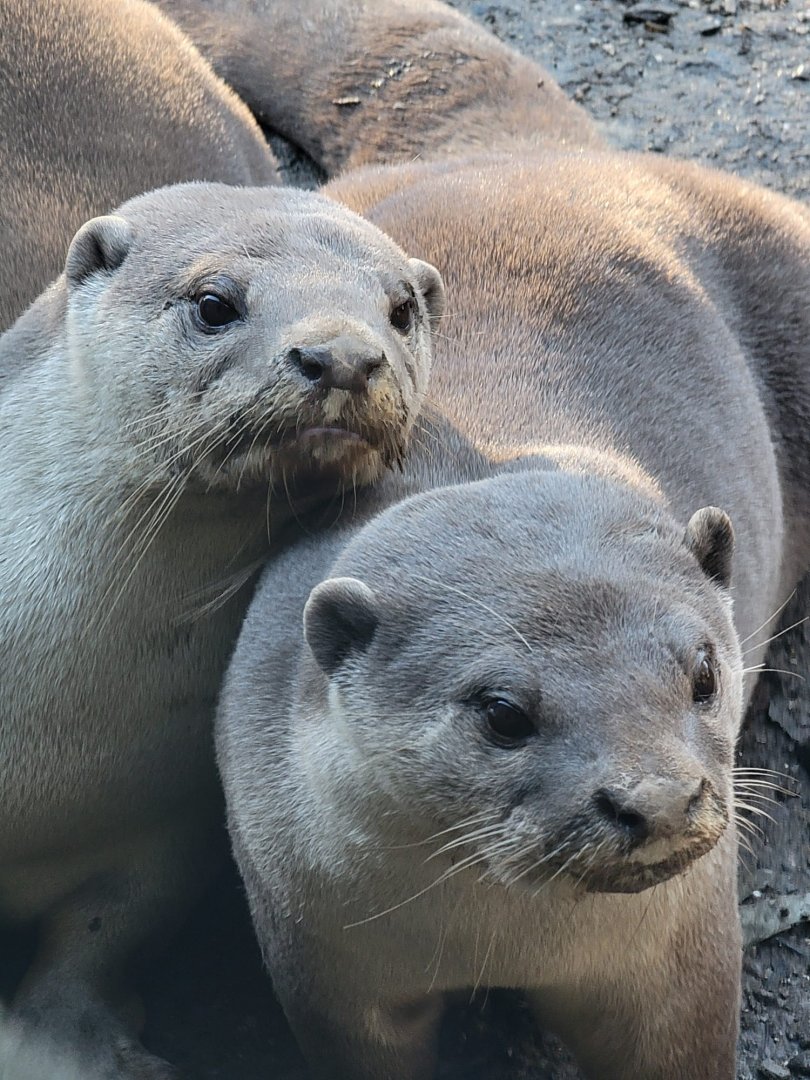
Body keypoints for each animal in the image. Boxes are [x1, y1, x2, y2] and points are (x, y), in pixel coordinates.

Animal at [0, 182, 443, 1078]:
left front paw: (81, 1044)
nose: (343, 356)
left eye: (400, 310)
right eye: (214, 303)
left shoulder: (161, 840)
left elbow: (99, 940)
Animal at [217, 149, 809, 1079]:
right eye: (502, 713)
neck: (506, 942)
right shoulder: (323, 964)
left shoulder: (679, 961)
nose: (659, 801)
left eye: (706, 675)